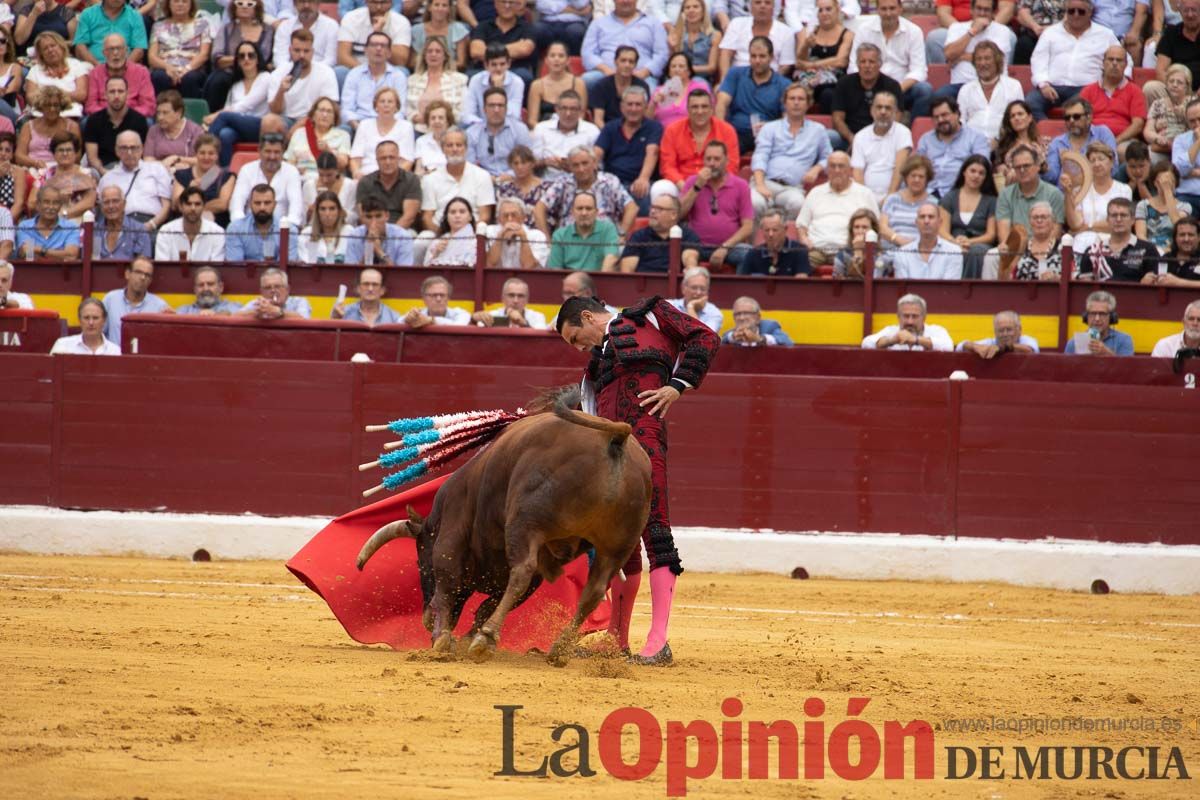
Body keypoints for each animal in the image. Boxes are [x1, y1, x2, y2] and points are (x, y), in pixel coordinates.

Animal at [355, 391, 652, 666]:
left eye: (420, 562)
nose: (425, 619)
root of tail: (615, 437)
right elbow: (487, 604)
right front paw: (464, 637)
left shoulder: (450, 536)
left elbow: (448, 584)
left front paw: (444, 638)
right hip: (617, 547)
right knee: (593, 591)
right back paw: (557, 649)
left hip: (525, 523)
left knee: (521, 572)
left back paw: (486, 639)